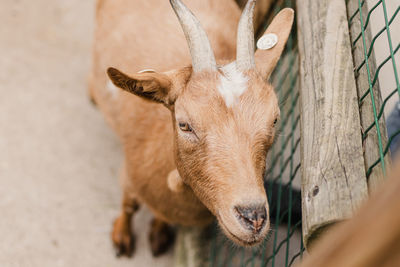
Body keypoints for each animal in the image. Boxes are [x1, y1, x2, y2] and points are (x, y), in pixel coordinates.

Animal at [90, 0, 294, 258]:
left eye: (274, 120)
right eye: (184, 125)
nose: (254, 219)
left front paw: (159, 233)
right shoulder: (129, 174)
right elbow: (129, 204)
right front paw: (121, 238)